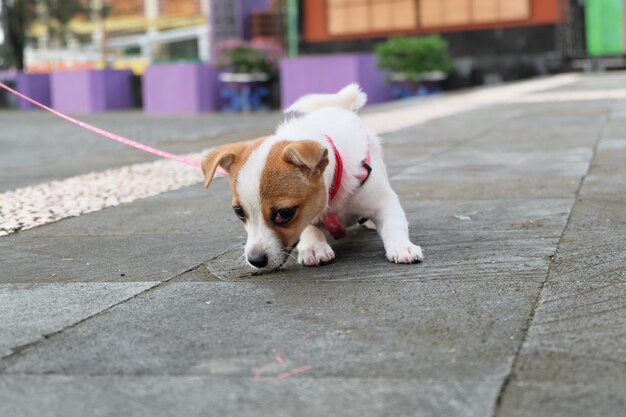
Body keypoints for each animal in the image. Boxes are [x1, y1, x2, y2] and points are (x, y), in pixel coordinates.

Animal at [202, 83, 422, 270]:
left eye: (284, 213)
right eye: (239, 212)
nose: (255, 260)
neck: (332, 197)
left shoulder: (384, 202)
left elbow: (393, 224)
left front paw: (402, 246)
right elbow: (309, 227)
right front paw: (314, 246)